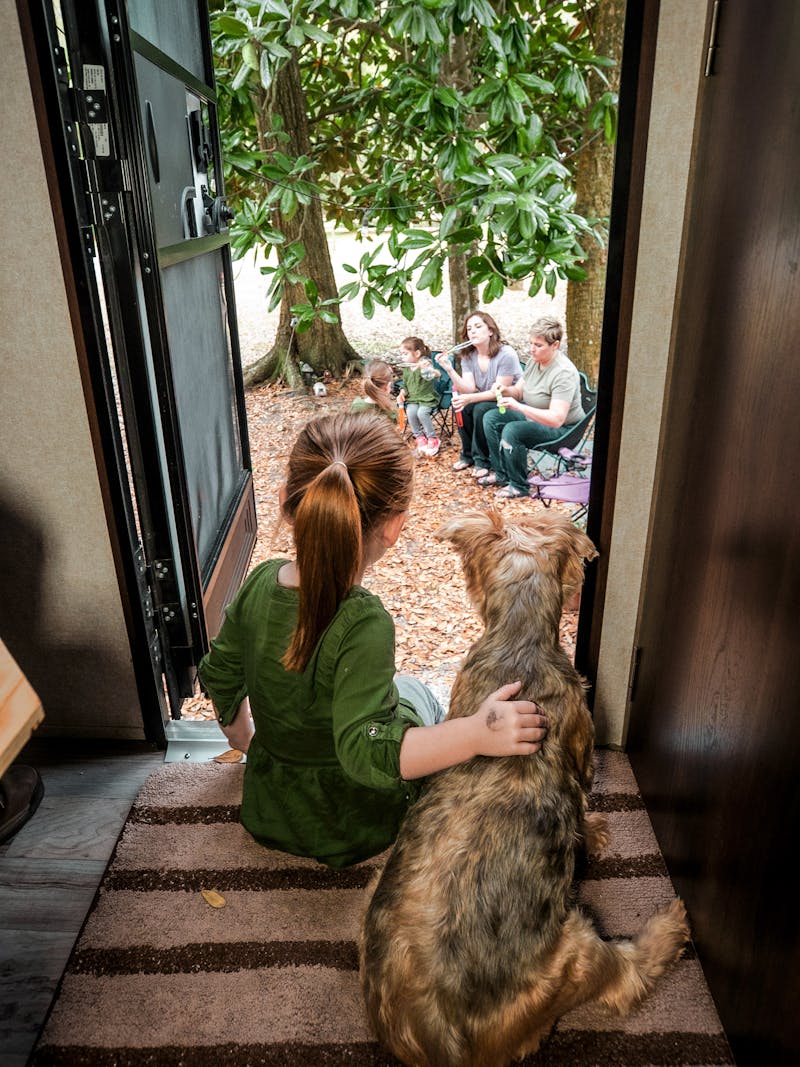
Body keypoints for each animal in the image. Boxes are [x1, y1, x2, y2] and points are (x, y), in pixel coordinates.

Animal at [362, 507, 691, 1067]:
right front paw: (596, 830)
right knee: (626, 976)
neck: (519, 639)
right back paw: (670, 925)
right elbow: (582, 802)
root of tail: (441, 1036)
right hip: (574, 949)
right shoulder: (580, 746)